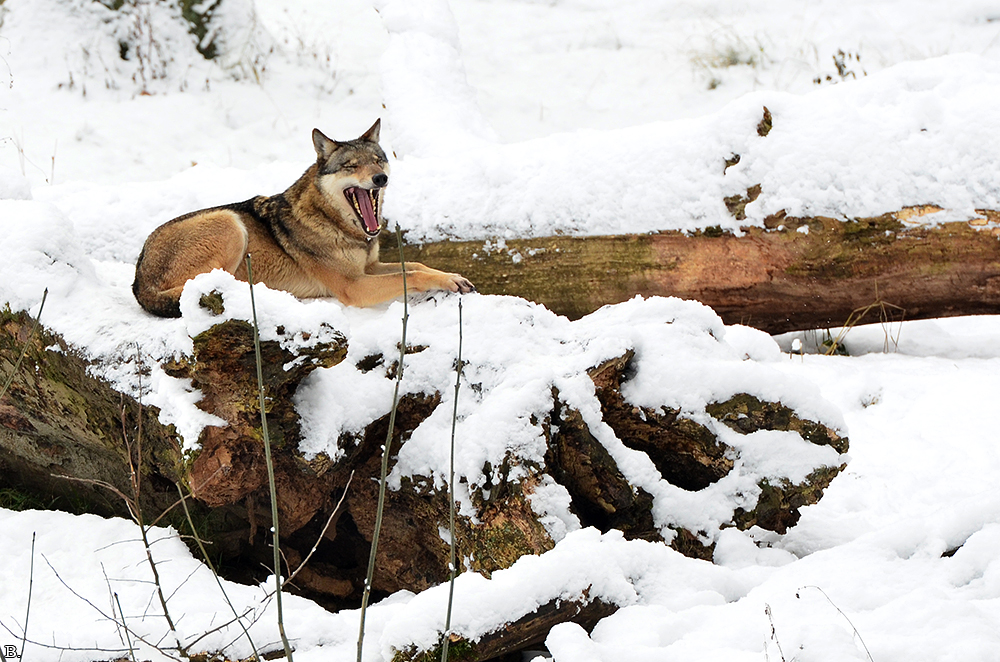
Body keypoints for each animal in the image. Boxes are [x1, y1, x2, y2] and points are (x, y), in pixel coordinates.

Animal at [132, 119, 473, 317]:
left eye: (378, 160)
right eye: (351, 166)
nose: (380, 179)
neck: (336, 223)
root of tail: (138, 280)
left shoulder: (368, 267)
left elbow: (415, 265)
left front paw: (453, 276)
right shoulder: (354, 286)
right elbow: (411, 274)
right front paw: (448, 281)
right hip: (230, 224)